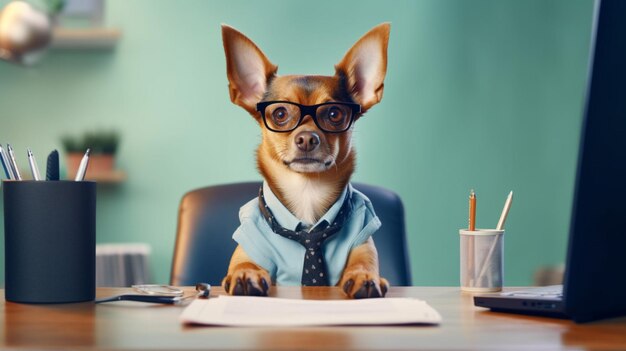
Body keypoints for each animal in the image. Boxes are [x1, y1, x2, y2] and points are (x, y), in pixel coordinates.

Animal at [218, 23, 386, 298]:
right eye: (280, 113)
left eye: (334, 113)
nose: (307, 138)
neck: (307, 193)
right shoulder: (248, 246)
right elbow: (244, 263)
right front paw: (246, 274)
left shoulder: (363, 242)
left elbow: (363, 263)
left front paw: (364, 276)